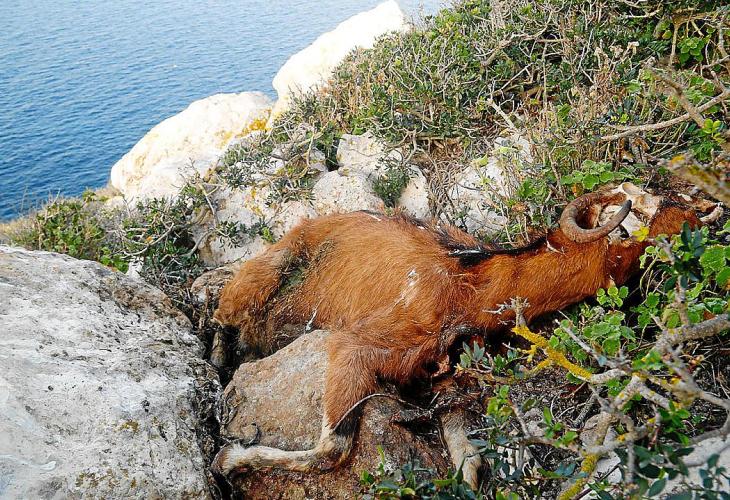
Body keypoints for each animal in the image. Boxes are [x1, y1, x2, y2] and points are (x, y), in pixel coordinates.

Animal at [210, 183, 720, 489]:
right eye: (638, 215)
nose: (706, 211)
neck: (471, 286)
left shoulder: (450, 378)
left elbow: (469, 463)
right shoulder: (356, 347)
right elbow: (330, 450)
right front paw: (230, 460)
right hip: (264, 273)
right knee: (217, 300)